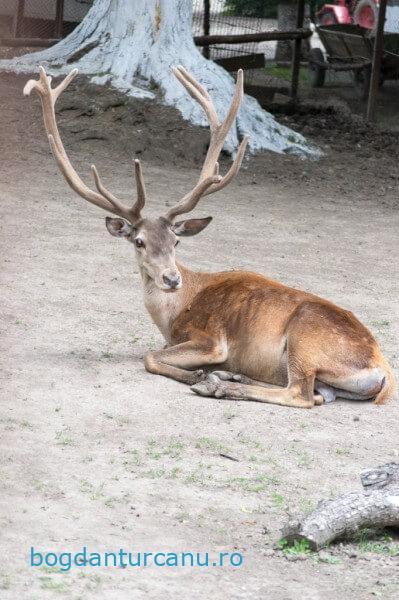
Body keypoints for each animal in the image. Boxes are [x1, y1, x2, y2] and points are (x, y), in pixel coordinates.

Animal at [24, 68, 396, 410]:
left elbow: (150, 356)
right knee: (318, 395)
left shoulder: (212, 340)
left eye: (176, 242)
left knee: (301, 394)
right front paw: (208, 373)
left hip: (306, 338)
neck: (174, 314)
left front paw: (199, 375)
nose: (171, 278)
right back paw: (231, 377)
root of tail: (384, 371)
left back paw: (217, 384)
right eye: (139, 241)